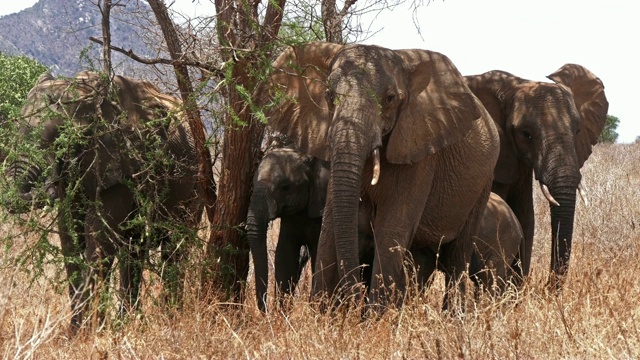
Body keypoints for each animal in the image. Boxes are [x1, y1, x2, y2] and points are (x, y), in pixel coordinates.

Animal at [4, 71, 202, 332]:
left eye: (62, 136)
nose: (49, 186)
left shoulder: (123, 160)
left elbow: (97, 233)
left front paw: (86, 333)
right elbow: (70, 234)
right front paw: (78, 331)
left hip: (196, 182)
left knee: (174, 247)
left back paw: (170, 318)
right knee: (133, 250)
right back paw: (127, 323)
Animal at [260, 41, 500, 306]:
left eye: (390, 99)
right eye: (329, 96)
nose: (353, 298)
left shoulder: (418, 150)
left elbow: (390, 230)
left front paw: (376, 314)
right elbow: (330, 227)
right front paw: (323, 312)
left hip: (482, 185)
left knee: (457, 256)